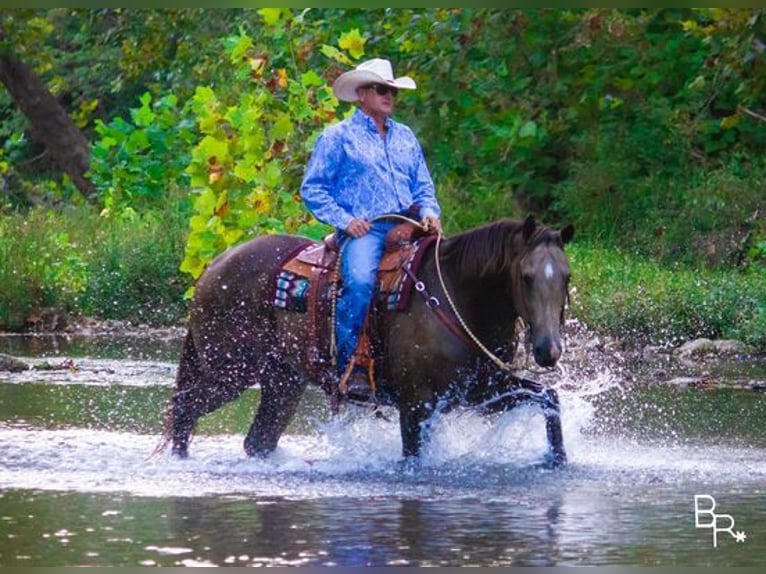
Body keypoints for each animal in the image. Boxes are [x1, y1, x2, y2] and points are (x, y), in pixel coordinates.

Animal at [159, 215, 572, 468]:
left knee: (256, 440)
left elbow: (548, 398)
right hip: (229, 372)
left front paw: (557, 462)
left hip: (282, 382)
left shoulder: (480, 391)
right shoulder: (416, 403)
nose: (548, 350)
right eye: (527, 276)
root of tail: (213, 267)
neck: (456, 298)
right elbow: (413, 457)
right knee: (184, 409)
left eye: (565, 276)